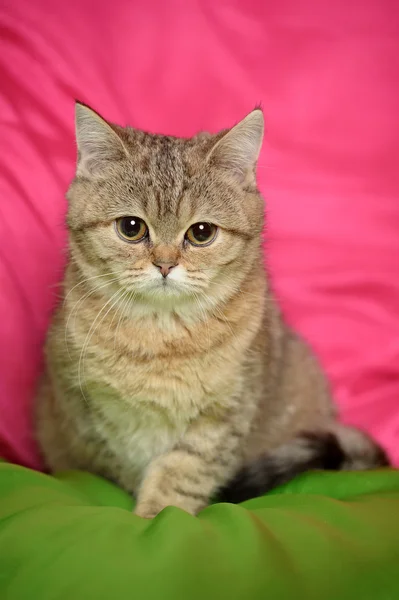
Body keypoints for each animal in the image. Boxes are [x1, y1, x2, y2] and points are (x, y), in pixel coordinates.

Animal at [34, 101, 390, 516]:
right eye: (131, 228)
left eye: (201, 233)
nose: (165, 264)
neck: (161, 337)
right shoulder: (92, 415)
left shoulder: (223, 417)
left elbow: (181, 476)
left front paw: (157, 517)